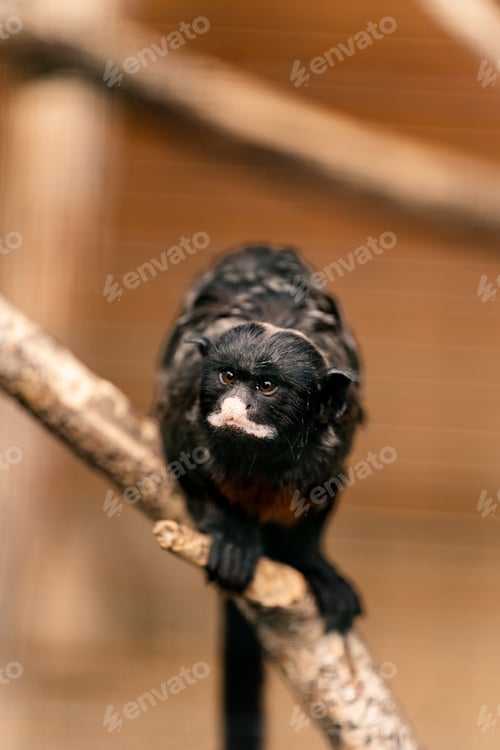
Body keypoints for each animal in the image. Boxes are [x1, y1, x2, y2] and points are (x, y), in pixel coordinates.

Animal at [156, 244, 364, 750]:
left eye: (266, 387)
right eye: (228, 378)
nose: (235, 407)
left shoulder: (338, 435)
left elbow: (323, 494)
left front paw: (310, 562)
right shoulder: (180, 409)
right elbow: (187, 469)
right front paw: (232, 535)